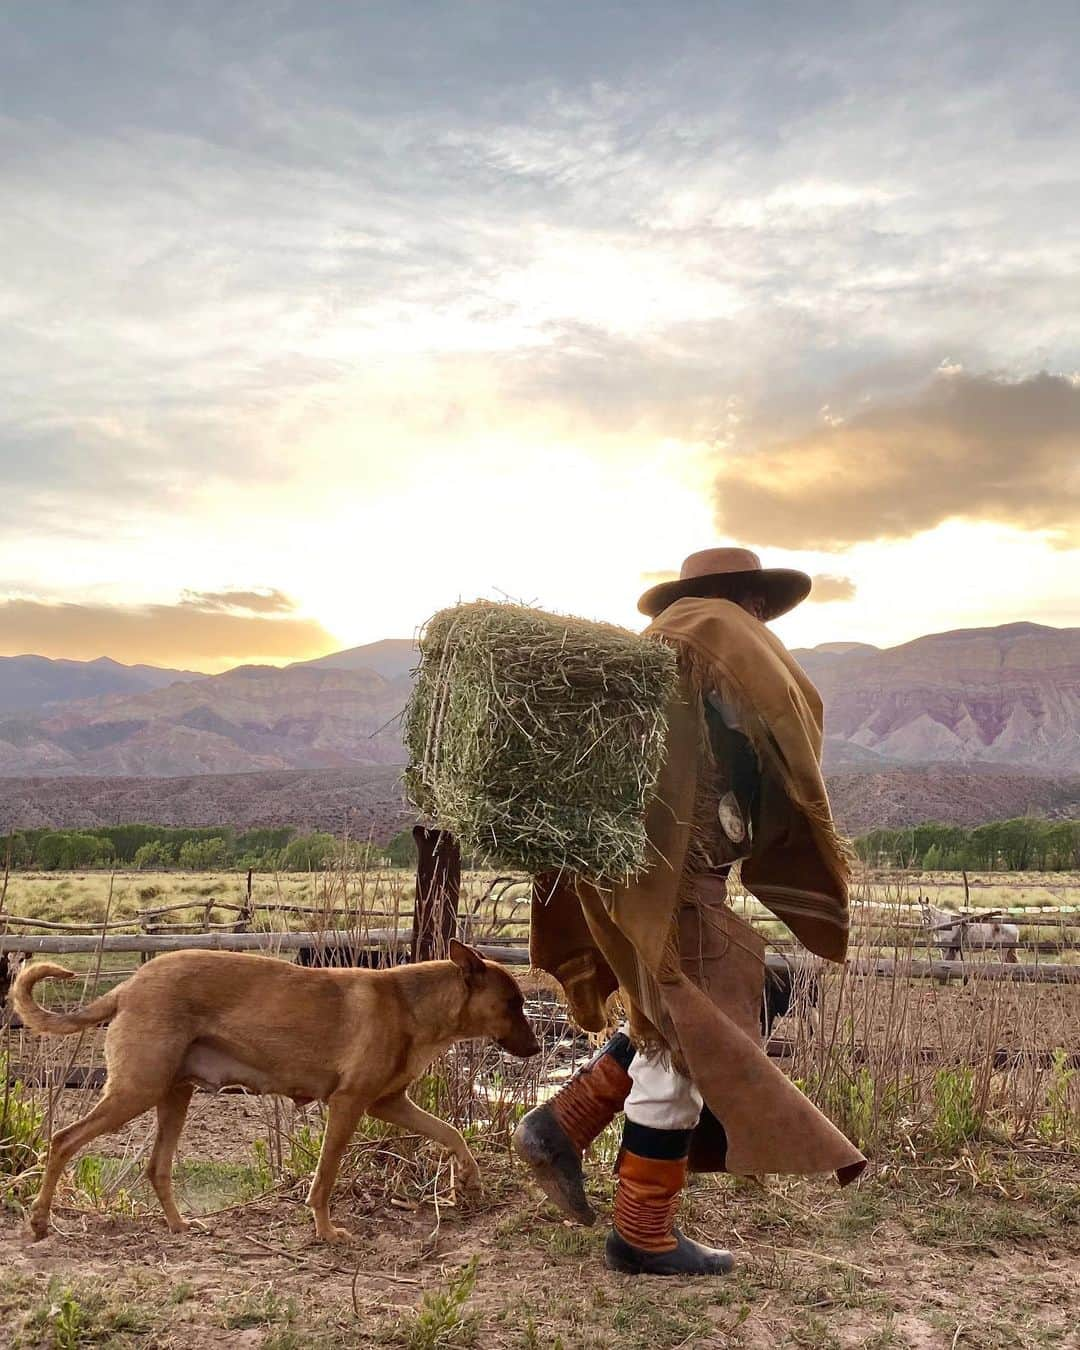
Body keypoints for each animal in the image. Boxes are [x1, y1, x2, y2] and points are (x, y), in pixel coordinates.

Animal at [11, 939, 540, 1242]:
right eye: (513, 1003)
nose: (536, 1048)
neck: (415, 1007)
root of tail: (129, 986)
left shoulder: (389, 1104)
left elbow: (451, 1132)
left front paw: (468, 1178)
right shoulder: (348, 1106)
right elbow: (325, 1178)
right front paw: (325, 1231)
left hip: (173, 1095)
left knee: (156, 1167)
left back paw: (179, 1226)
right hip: (135, 1091)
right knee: (62, 1140)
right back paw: (39, 1221)